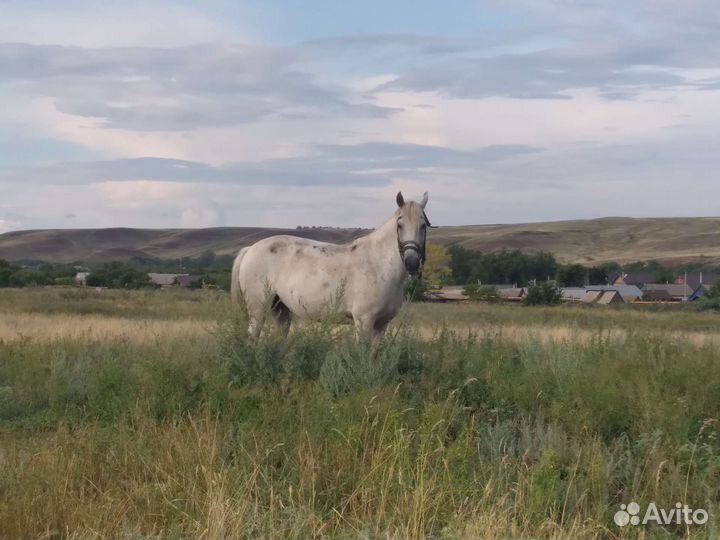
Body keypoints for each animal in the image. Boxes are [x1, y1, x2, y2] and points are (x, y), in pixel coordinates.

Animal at [231, 192, 431, 346]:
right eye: (400, 225)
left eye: (423, 226)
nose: (412, 262)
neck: (379, 265)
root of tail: (250, 249)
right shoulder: (364, 321)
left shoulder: (382, 324)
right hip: (258, 309)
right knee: (252, 338)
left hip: (281, 309)